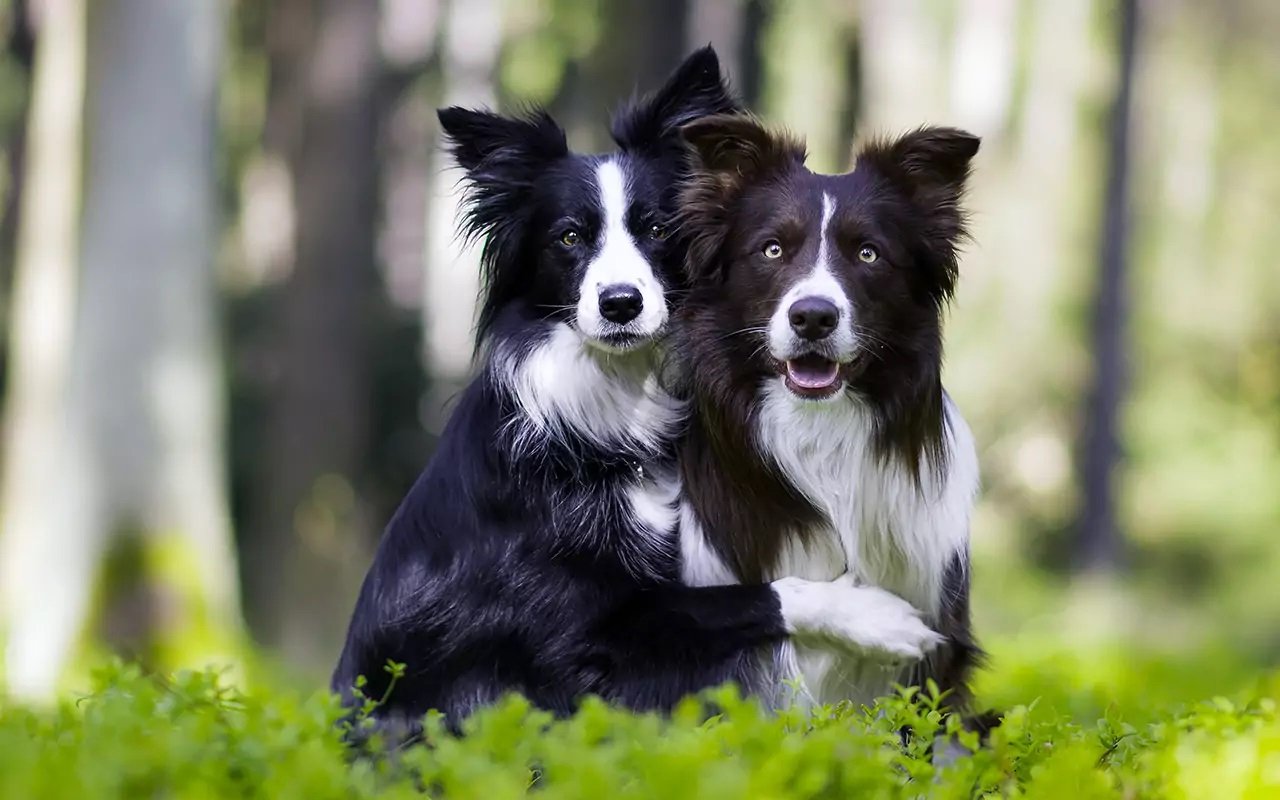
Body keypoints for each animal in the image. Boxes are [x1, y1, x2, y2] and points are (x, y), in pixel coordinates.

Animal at [325, 49, 936, 732]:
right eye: (569, 237)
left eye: (659, 228)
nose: (620, 303)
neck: (613, 403)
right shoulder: (582, 632)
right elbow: (756, 596)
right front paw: (878, 617)